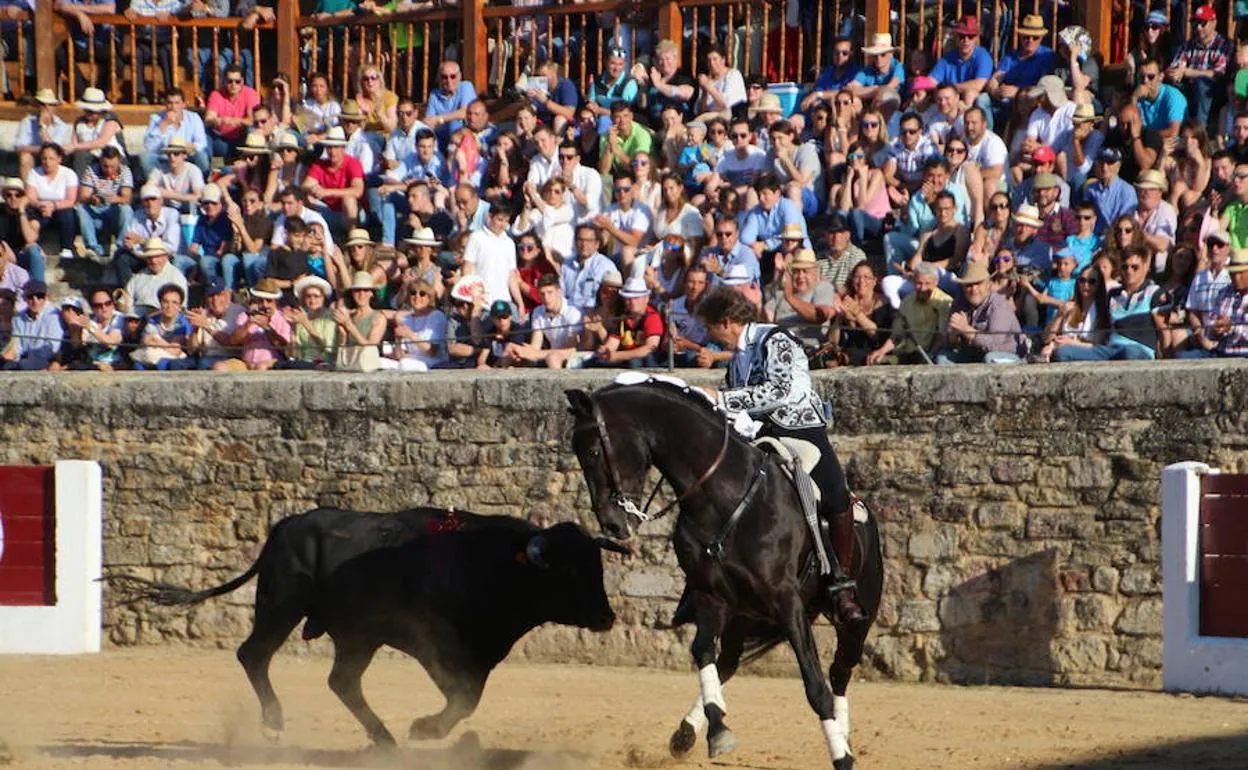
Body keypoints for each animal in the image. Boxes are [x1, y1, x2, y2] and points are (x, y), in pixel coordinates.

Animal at [111, 504, 628, 743]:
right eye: (569, 570)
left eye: (597, 566)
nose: (606, 617)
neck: (493, 565)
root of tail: (286, 526)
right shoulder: (436, 644)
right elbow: (462, 697)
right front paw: (426, 728)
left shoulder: (476, 653)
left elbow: (469, 698)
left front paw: (427, 729)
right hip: (283, 606)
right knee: (254, 654)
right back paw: (276, 721)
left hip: (354, 635)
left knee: (341, 681)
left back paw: (383, 739)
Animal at [569, 381, 888, 763]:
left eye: (592, 451)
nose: (613, 525)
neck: (724, 496)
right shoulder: (711, 596)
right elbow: (702, 651)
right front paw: (717, 729)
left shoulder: (786, 601)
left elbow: (814, 683)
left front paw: (841, 758)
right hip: (743, 615)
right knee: (728, 662)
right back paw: (686, 734)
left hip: (855, 620)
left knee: (839, 672)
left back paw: (844, 736)